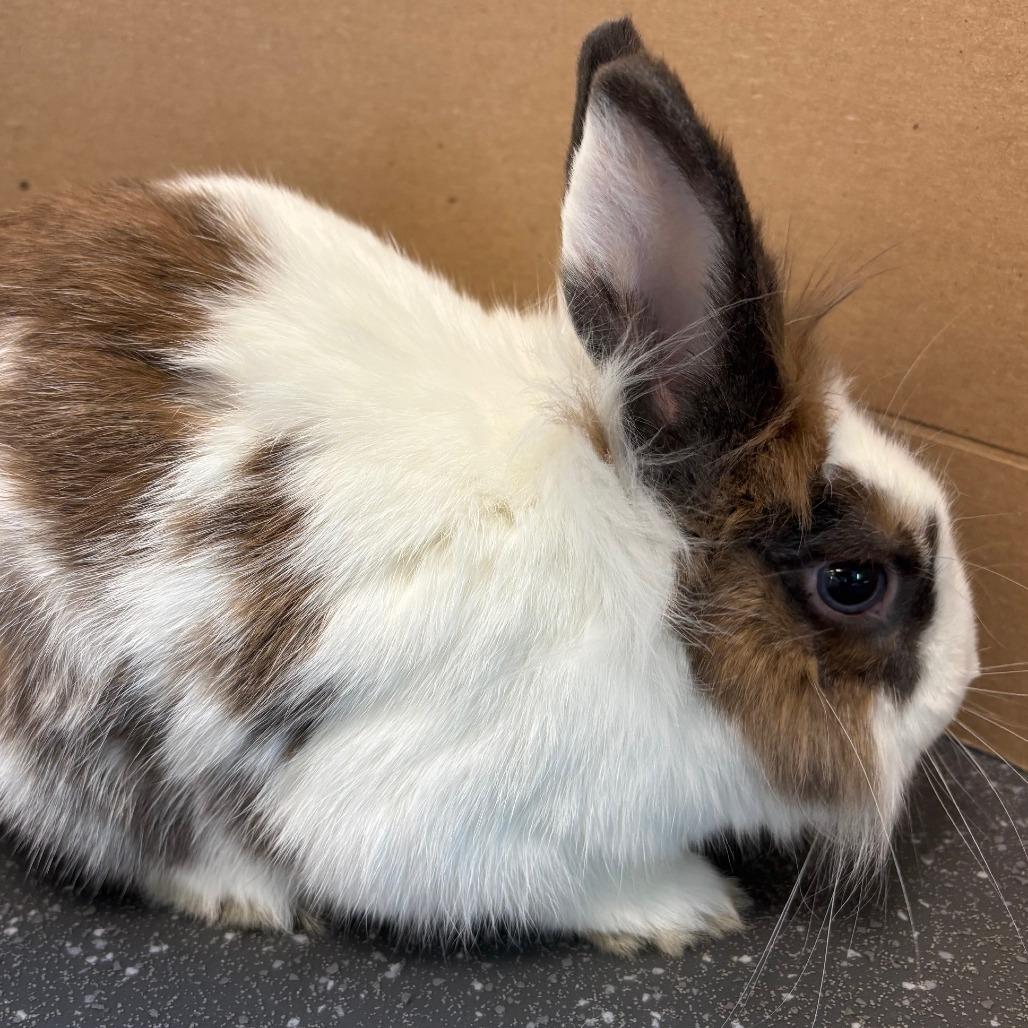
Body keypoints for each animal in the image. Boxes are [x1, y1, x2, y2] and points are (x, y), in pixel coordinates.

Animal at [0, 17, 978, 956]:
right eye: (853, 582)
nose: (961, 680)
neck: (653, 588)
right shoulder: (432, 827)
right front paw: (690, 909)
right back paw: (239, 893)